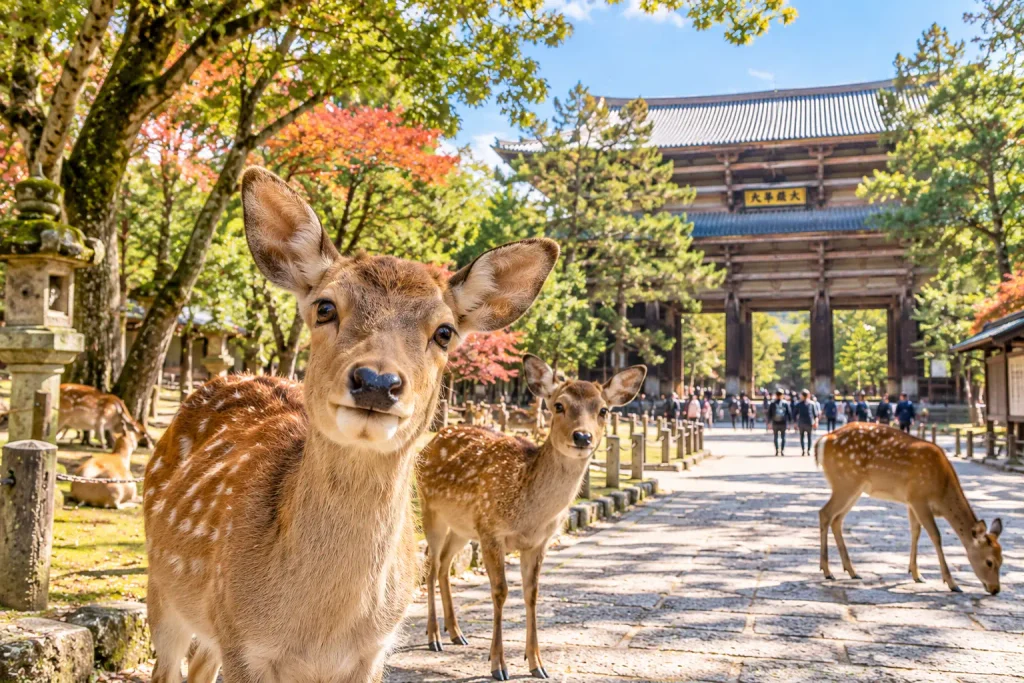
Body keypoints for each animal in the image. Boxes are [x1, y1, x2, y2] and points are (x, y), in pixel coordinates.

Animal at [142, 166, 558, 683]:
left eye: (444, 332)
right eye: (325, 307)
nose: (377, 381)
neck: (321, 633)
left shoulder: (373, 651)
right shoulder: (242, 642)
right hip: (163, 590)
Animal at [417, 356, 646, 680]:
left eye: (603, 410)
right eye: (559, 405)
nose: (582, 436)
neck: (529, 513)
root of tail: (433, 439)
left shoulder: (539, 541)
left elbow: (532, 593)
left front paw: (537, 663)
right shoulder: (491, 530)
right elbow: (500, 592)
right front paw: (498, 665)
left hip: (461, 526)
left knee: (446, 563)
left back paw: (456, 633)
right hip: (430, 507)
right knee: (431, 561)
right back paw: (434, 636)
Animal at [816, 422, 1004, 594]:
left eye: (1002, 560)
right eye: (989, 561)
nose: (995, 589)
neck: (942, 492)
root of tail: (823, 440)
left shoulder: (911, 502)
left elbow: (916, 532)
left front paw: (916, 574)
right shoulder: (919, 498)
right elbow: (936, 536)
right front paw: (952, 583)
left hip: (854, 488)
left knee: (837, 520)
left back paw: (852, 571)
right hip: (846, 482)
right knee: (825, 513)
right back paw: (827, 571)